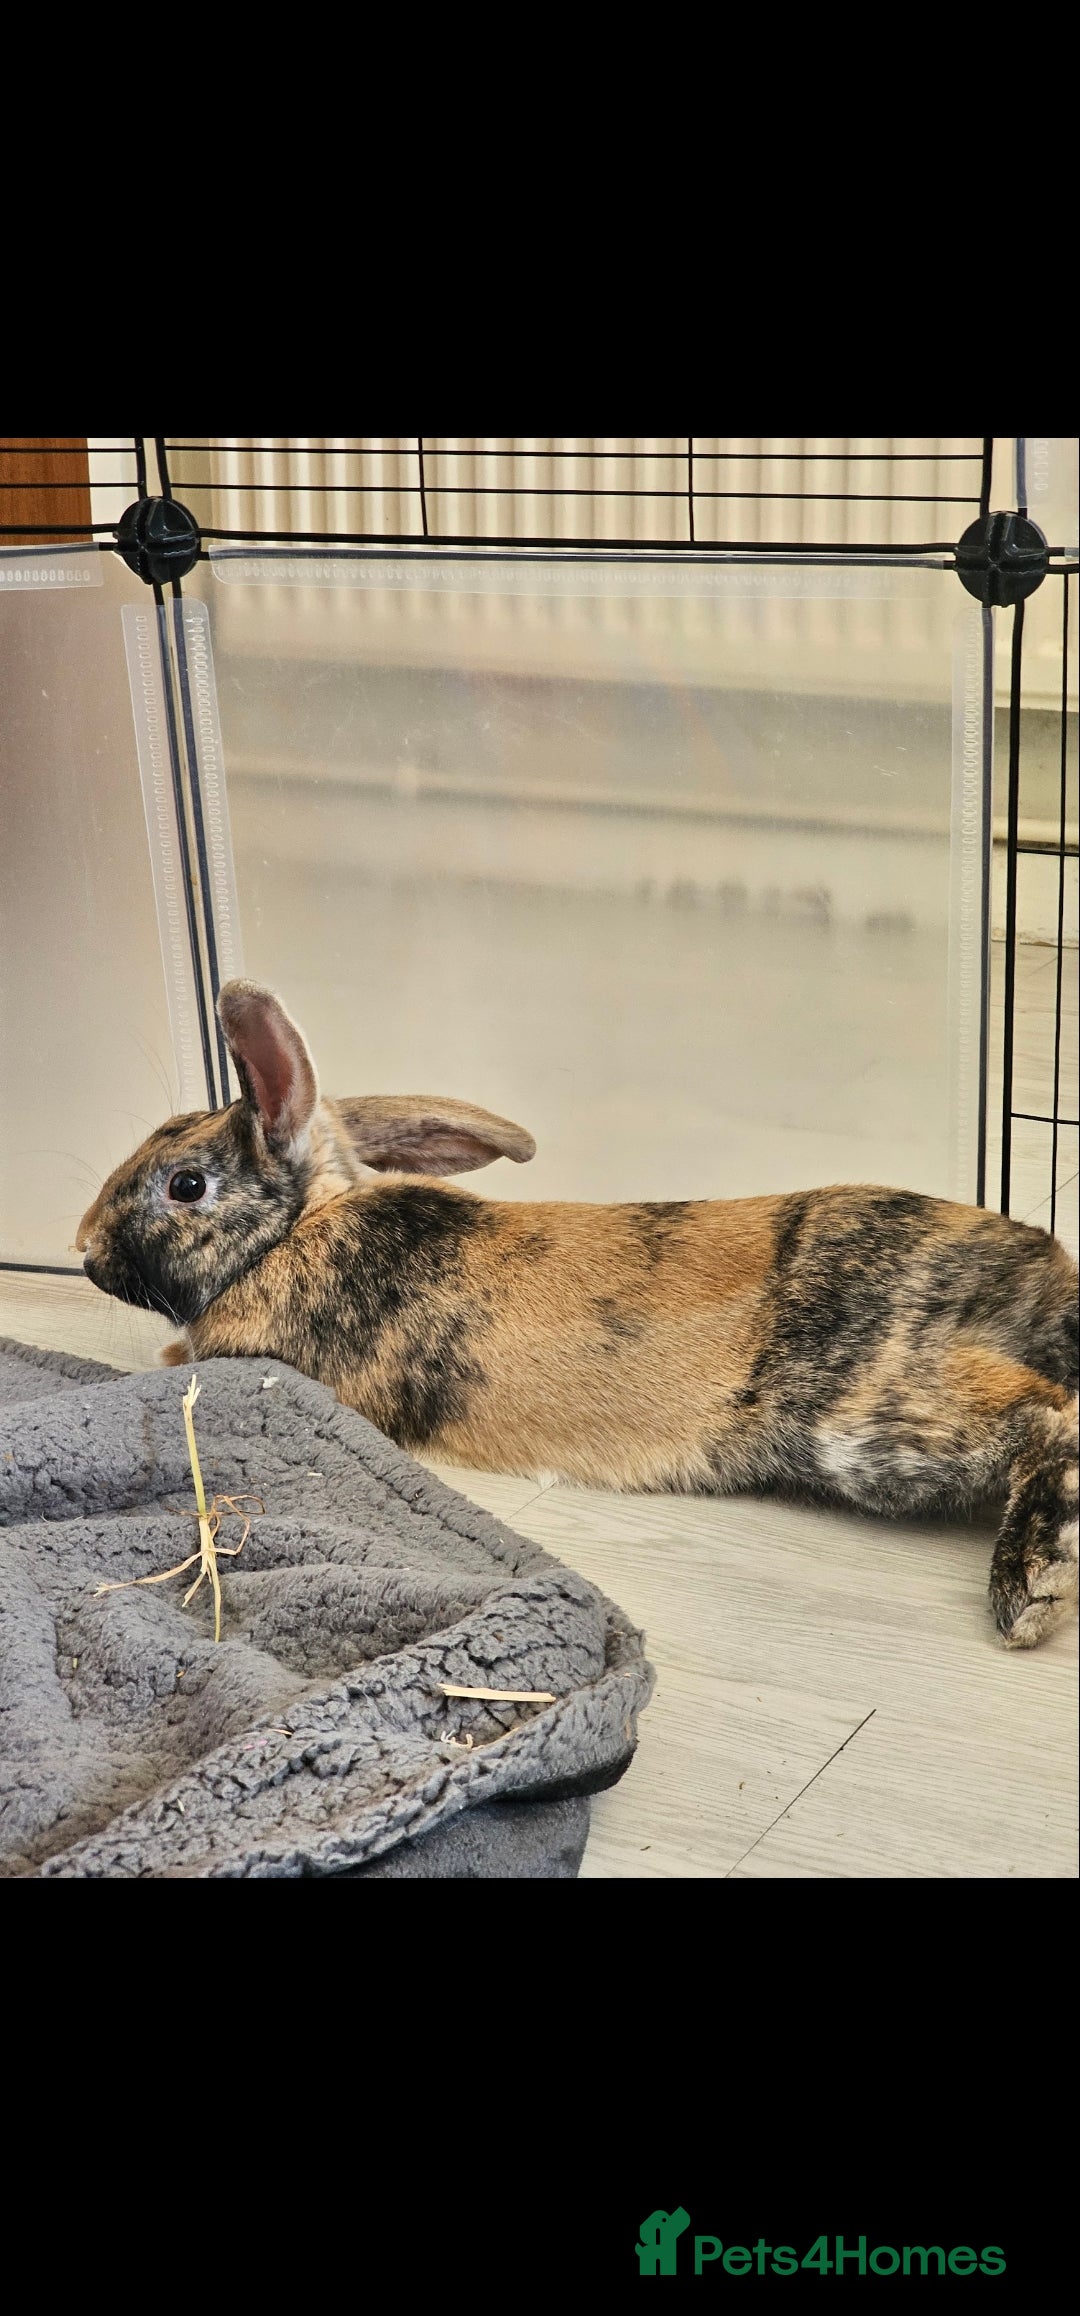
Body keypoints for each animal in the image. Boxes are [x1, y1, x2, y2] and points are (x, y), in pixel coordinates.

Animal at [76, 978, 1079, 1651]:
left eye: (186, 1184)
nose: (83, 1247)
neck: (296, 1229)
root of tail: (1035, 1273)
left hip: (867, 1413)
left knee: (1050, 1418)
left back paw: (1029, 1589)